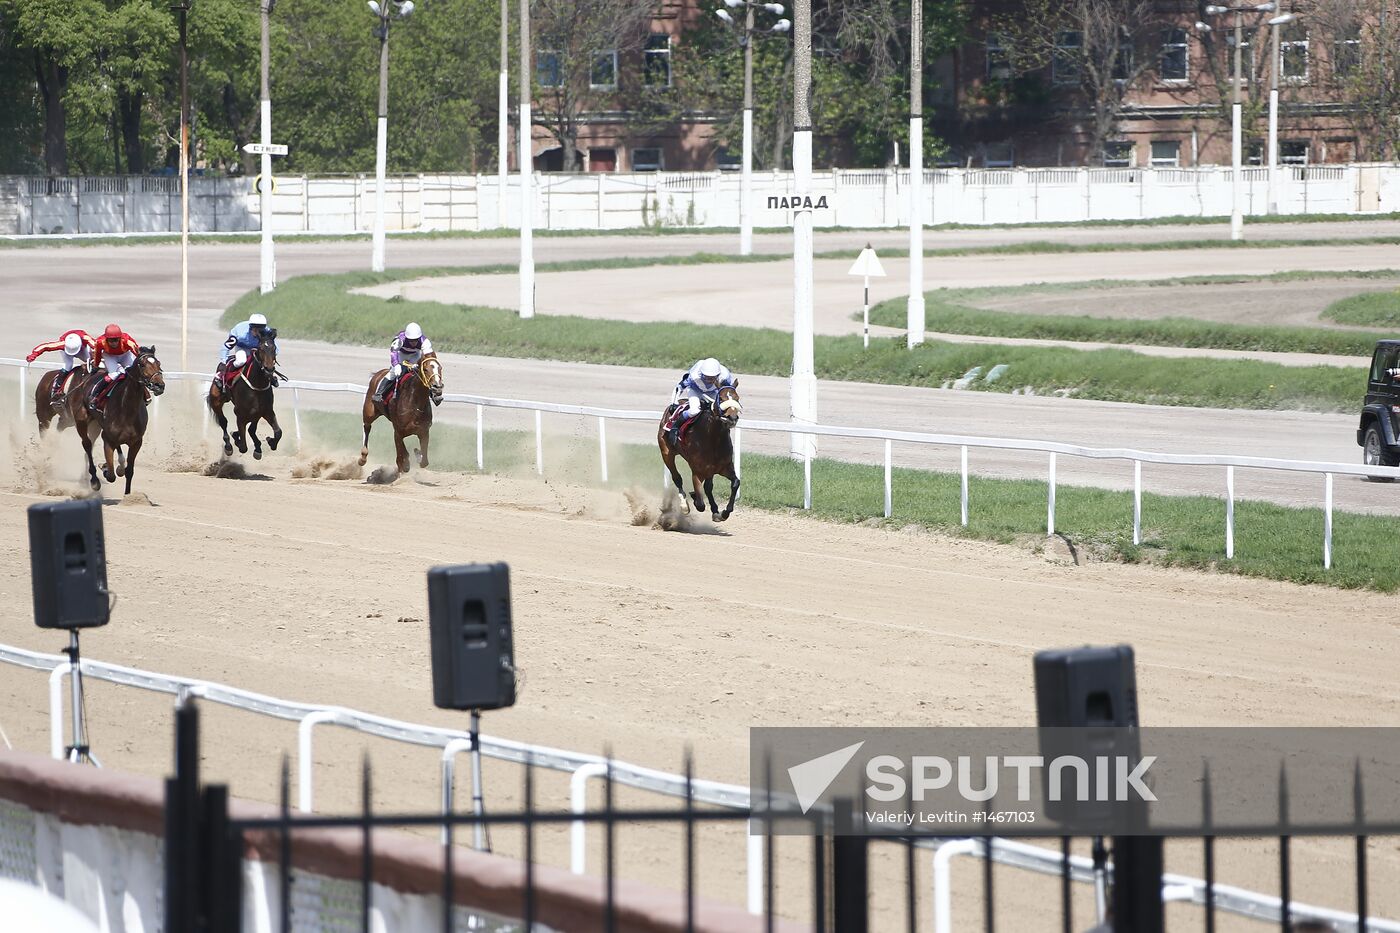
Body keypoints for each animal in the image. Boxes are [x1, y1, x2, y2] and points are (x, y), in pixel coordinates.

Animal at [65, 348, 165, 493]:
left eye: (158, 363)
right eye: (142, 365)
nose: (159, 385)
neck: (127, 409)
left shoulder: (136, 443)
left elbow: (129, 471)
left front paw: (127, 493)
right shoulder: (108, 440)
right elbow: (111, 475)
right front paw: (106, 469)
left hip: (97, 425)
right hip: (82, 421)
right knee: (87, 444)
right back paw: (94, 479)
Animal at [207, 325, 284, 459]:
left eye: (274, 348)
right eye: (260, 348)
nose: (269, 369)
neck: (257, 385)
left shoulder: (265, 411)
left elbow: (278, 432)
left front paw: (269, 442)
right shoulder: (240, 414)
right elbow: (243, 446)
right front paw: (238, 439)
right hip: (216, 401)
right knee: (223, 422)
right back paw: (228, 445)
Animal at [658, 383, 744, 518]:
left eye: (737, 398)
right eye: (721, 399)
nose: (732, 417)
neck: (714, 439)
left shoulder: (724, 467)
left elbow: (735, 482)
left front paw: (724, 512)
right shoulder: (697, 472)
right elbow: (700, 504)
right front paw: (693, 497)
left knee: (708, 487)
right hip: (666, 453)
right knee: (677, 478)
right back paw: (684, 505)